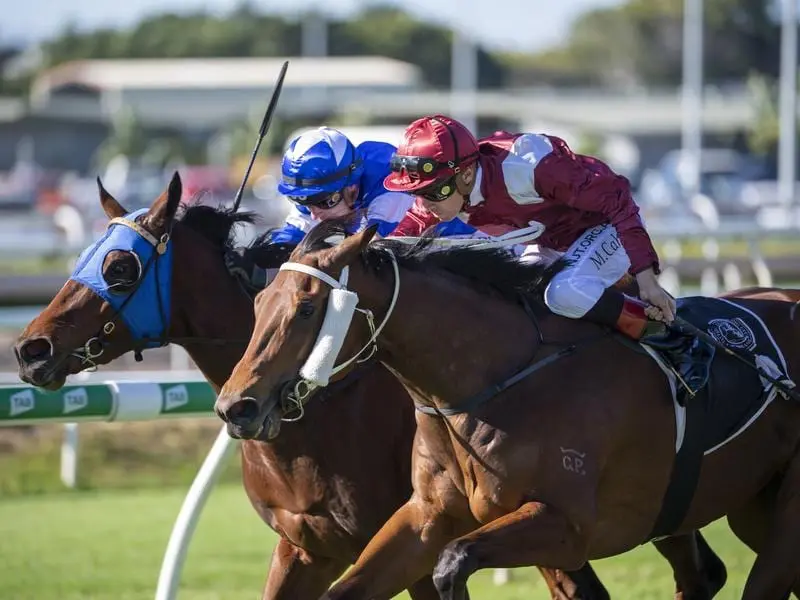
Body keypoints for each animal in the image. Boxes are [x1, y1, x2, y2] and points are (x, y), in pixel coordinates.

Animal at [12, 173, 636, 600]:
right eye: (83, 254)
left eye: (119, 267)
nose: (29, 349)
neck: (315, 412)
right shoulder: (306, 546)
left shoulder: (411, 540)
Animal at [217, 221, 800, 600]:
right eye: (258, 303)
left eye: (307, 307)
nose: (234, 407)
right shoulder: (425, 515)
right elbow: (354, 586)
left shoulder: (570, 527)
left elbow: (453, 565)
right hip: (753, 504)